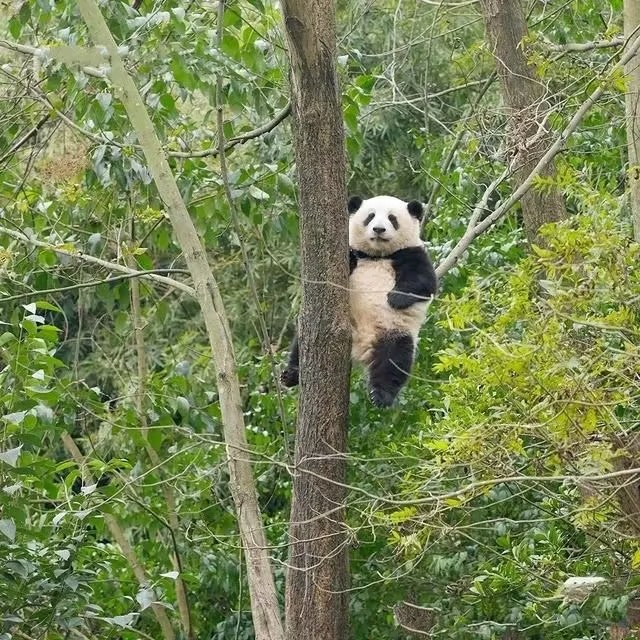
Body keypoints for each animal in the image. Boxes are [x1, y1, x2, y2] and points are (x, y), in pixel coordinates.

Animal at [282, 192, 438, 408]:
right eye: (370, 217)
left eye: (392, 218)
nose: (379, 229)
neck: (377, 256)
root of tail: (360, 344)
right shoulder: (353, 252)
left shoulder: (412, 253)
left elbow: (424, 281)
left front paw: (395, 298)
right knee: (300, 345)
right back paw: (291, 374)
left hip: (394, 331)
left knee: (394, 361)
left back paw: (381, 396)